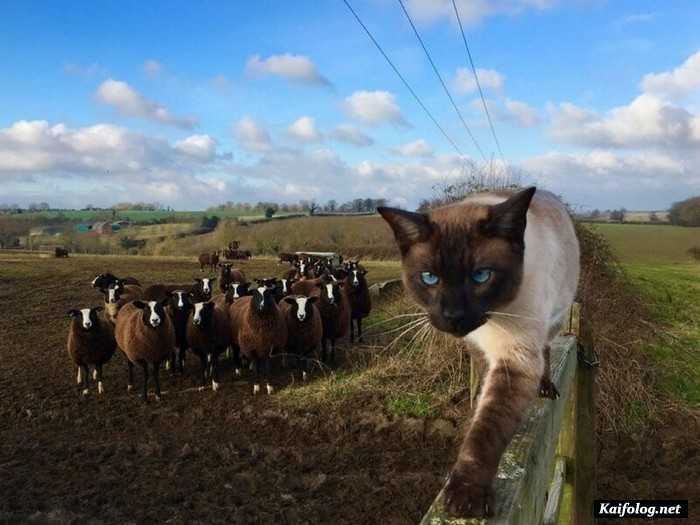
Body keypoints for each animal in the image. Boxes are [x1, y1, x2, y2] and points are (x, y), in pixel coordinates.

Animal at [378, 185, 580, 516]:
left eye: (481, 276)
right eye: (429, 278)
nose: (453, 315)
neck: (491, 324)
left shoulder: (516, 358)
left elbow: (487, 428)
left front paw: (466, 495)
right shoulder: (477, 350)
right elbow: (479, 401)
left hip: (555, 319)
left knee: (547, 350)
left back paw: (546, 386)